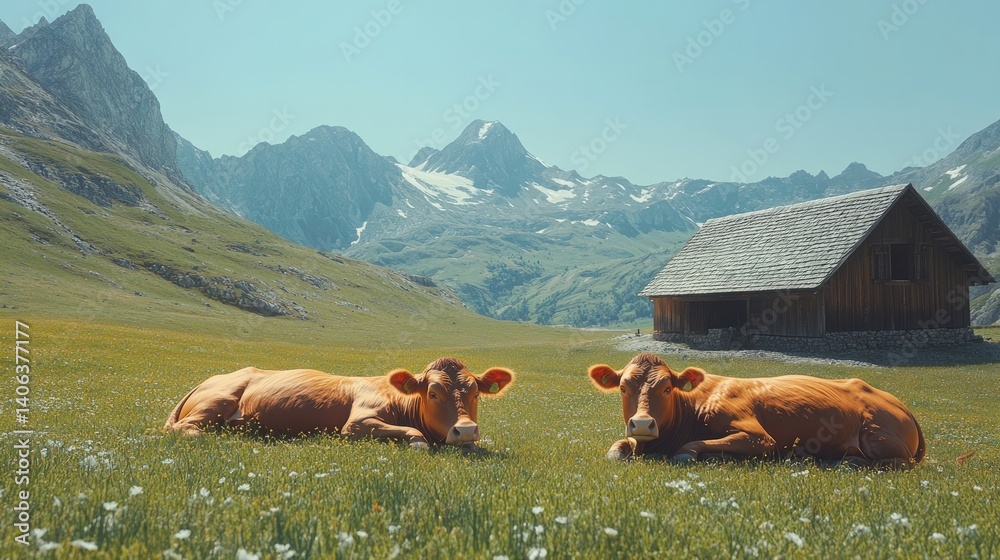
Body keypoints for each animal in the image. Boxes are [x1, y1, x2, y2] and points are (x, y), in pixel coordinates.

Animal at [165, 357, 514, 450]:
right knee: (184, 428)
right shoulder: (356, 424)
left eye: (476, 393)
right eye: (433, 393)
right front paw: (419, 443)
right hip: (219, 399)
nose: (464, 430)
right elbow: (414, 435)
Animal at [588, 353, 925, 469]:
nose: (643, 423)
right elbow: (617, 447)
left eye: (667, 388)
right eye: (623, 388)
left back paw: (847, 464)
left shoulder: (759, 437)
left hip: (877, 437)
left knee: (896, 462)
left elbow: (688, 448)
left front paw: (706, 455)